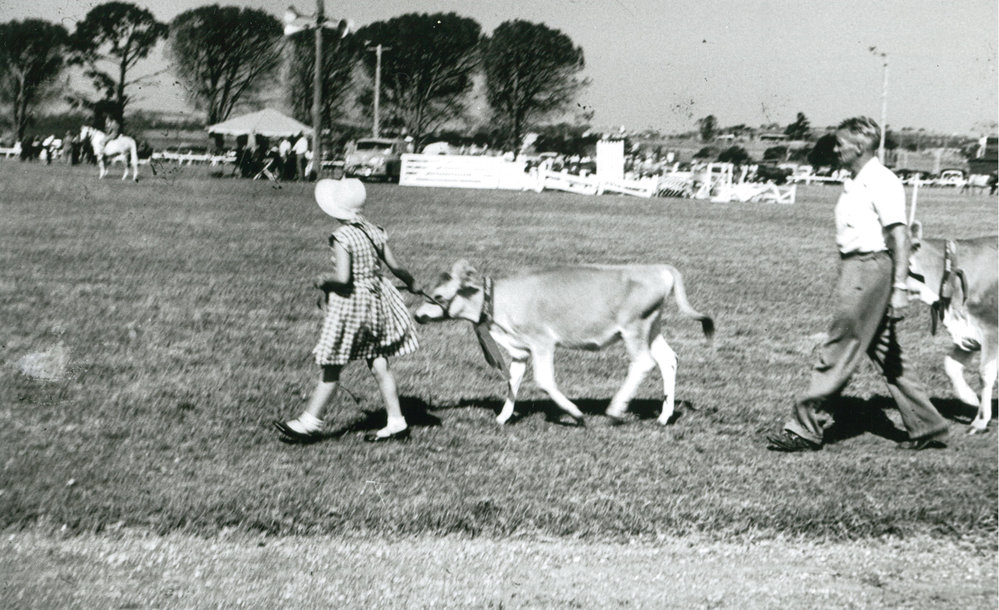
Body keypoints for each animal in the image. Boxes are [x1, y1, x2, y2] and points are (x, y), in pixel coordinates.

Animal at [413, 260, 714, 426]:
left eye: (438, 295)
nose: (417, 315)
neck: (498, 303)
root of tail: (659, 268)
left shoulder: (542, 342)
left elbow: (544, 381)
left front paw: (575, 414)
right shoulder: (520, 349)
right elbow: (513, 380)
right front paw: (503, 417)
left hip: (635, 328)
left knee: (643, 363)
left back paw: (615, 410)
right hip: (652, 327)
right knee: (668, 359)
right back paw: (663, 416)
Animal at [906, 222, 998, 434]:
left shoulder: (991, 330)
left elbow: (985, 374)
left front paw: (981, 420)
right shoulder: (970, 335)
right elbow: (950, 365)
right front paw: (971, 398)